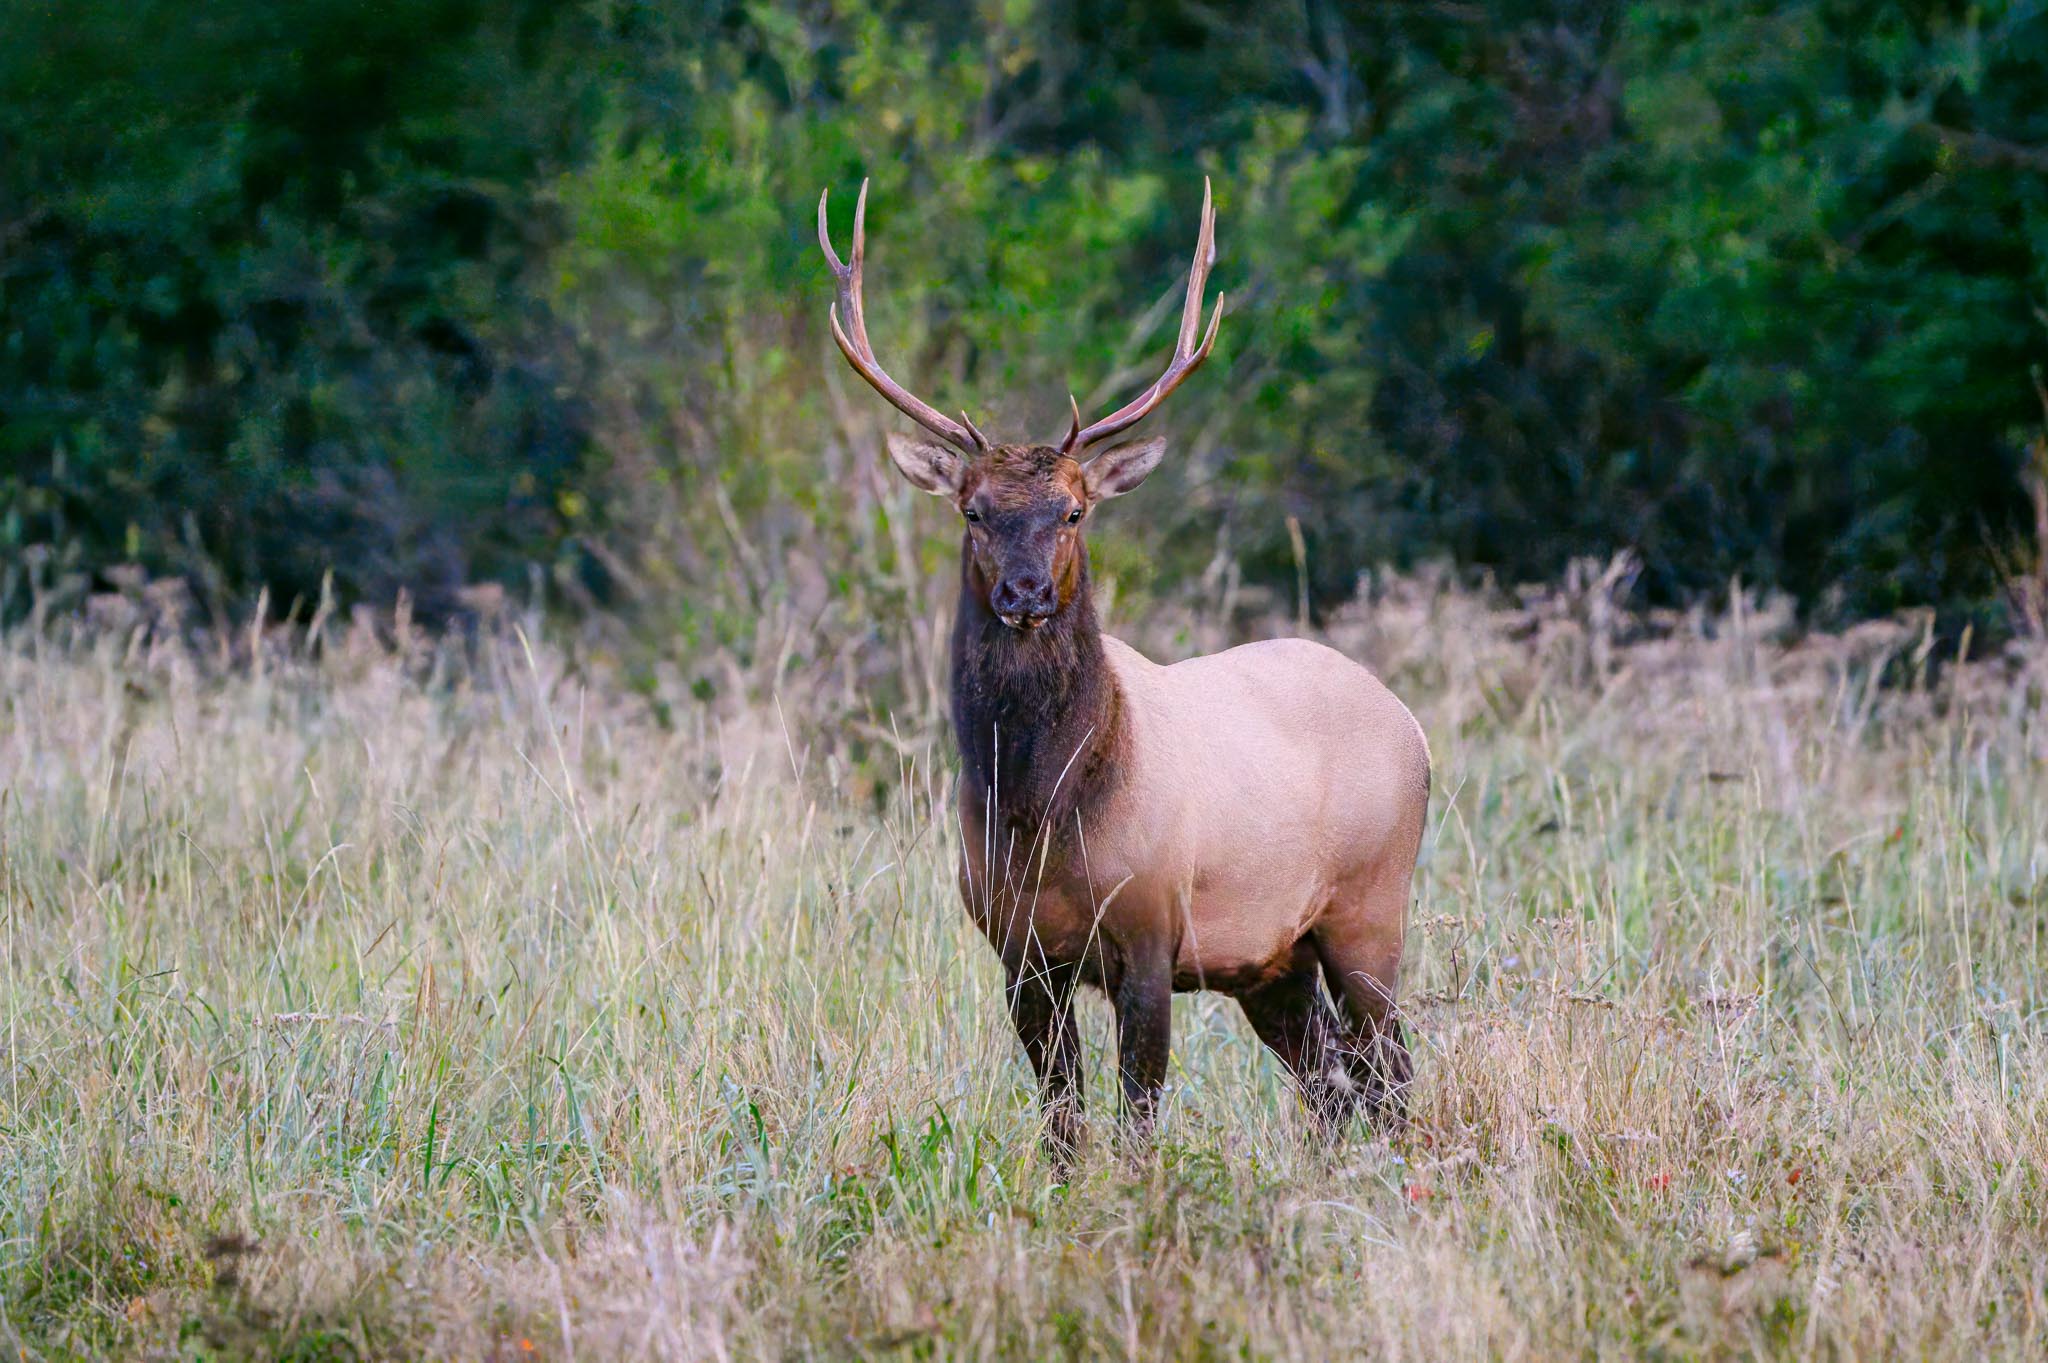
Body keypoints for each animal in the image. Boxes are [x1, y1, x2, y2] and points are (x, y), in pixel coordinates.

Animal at [818, 178, 1430, 1162]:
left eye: (1073, 510)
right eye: (974, 510)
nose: (1025, 592)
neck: (1045, 811)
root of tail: (1413, 727)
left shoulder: (1151, 928)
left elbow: (1138, 1113)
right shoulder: (1020, 953)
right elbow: (1063, 1121)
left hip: (1372, 904)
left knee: (1390, 1072)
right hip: (1274, 958)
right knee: (1332, 1083)